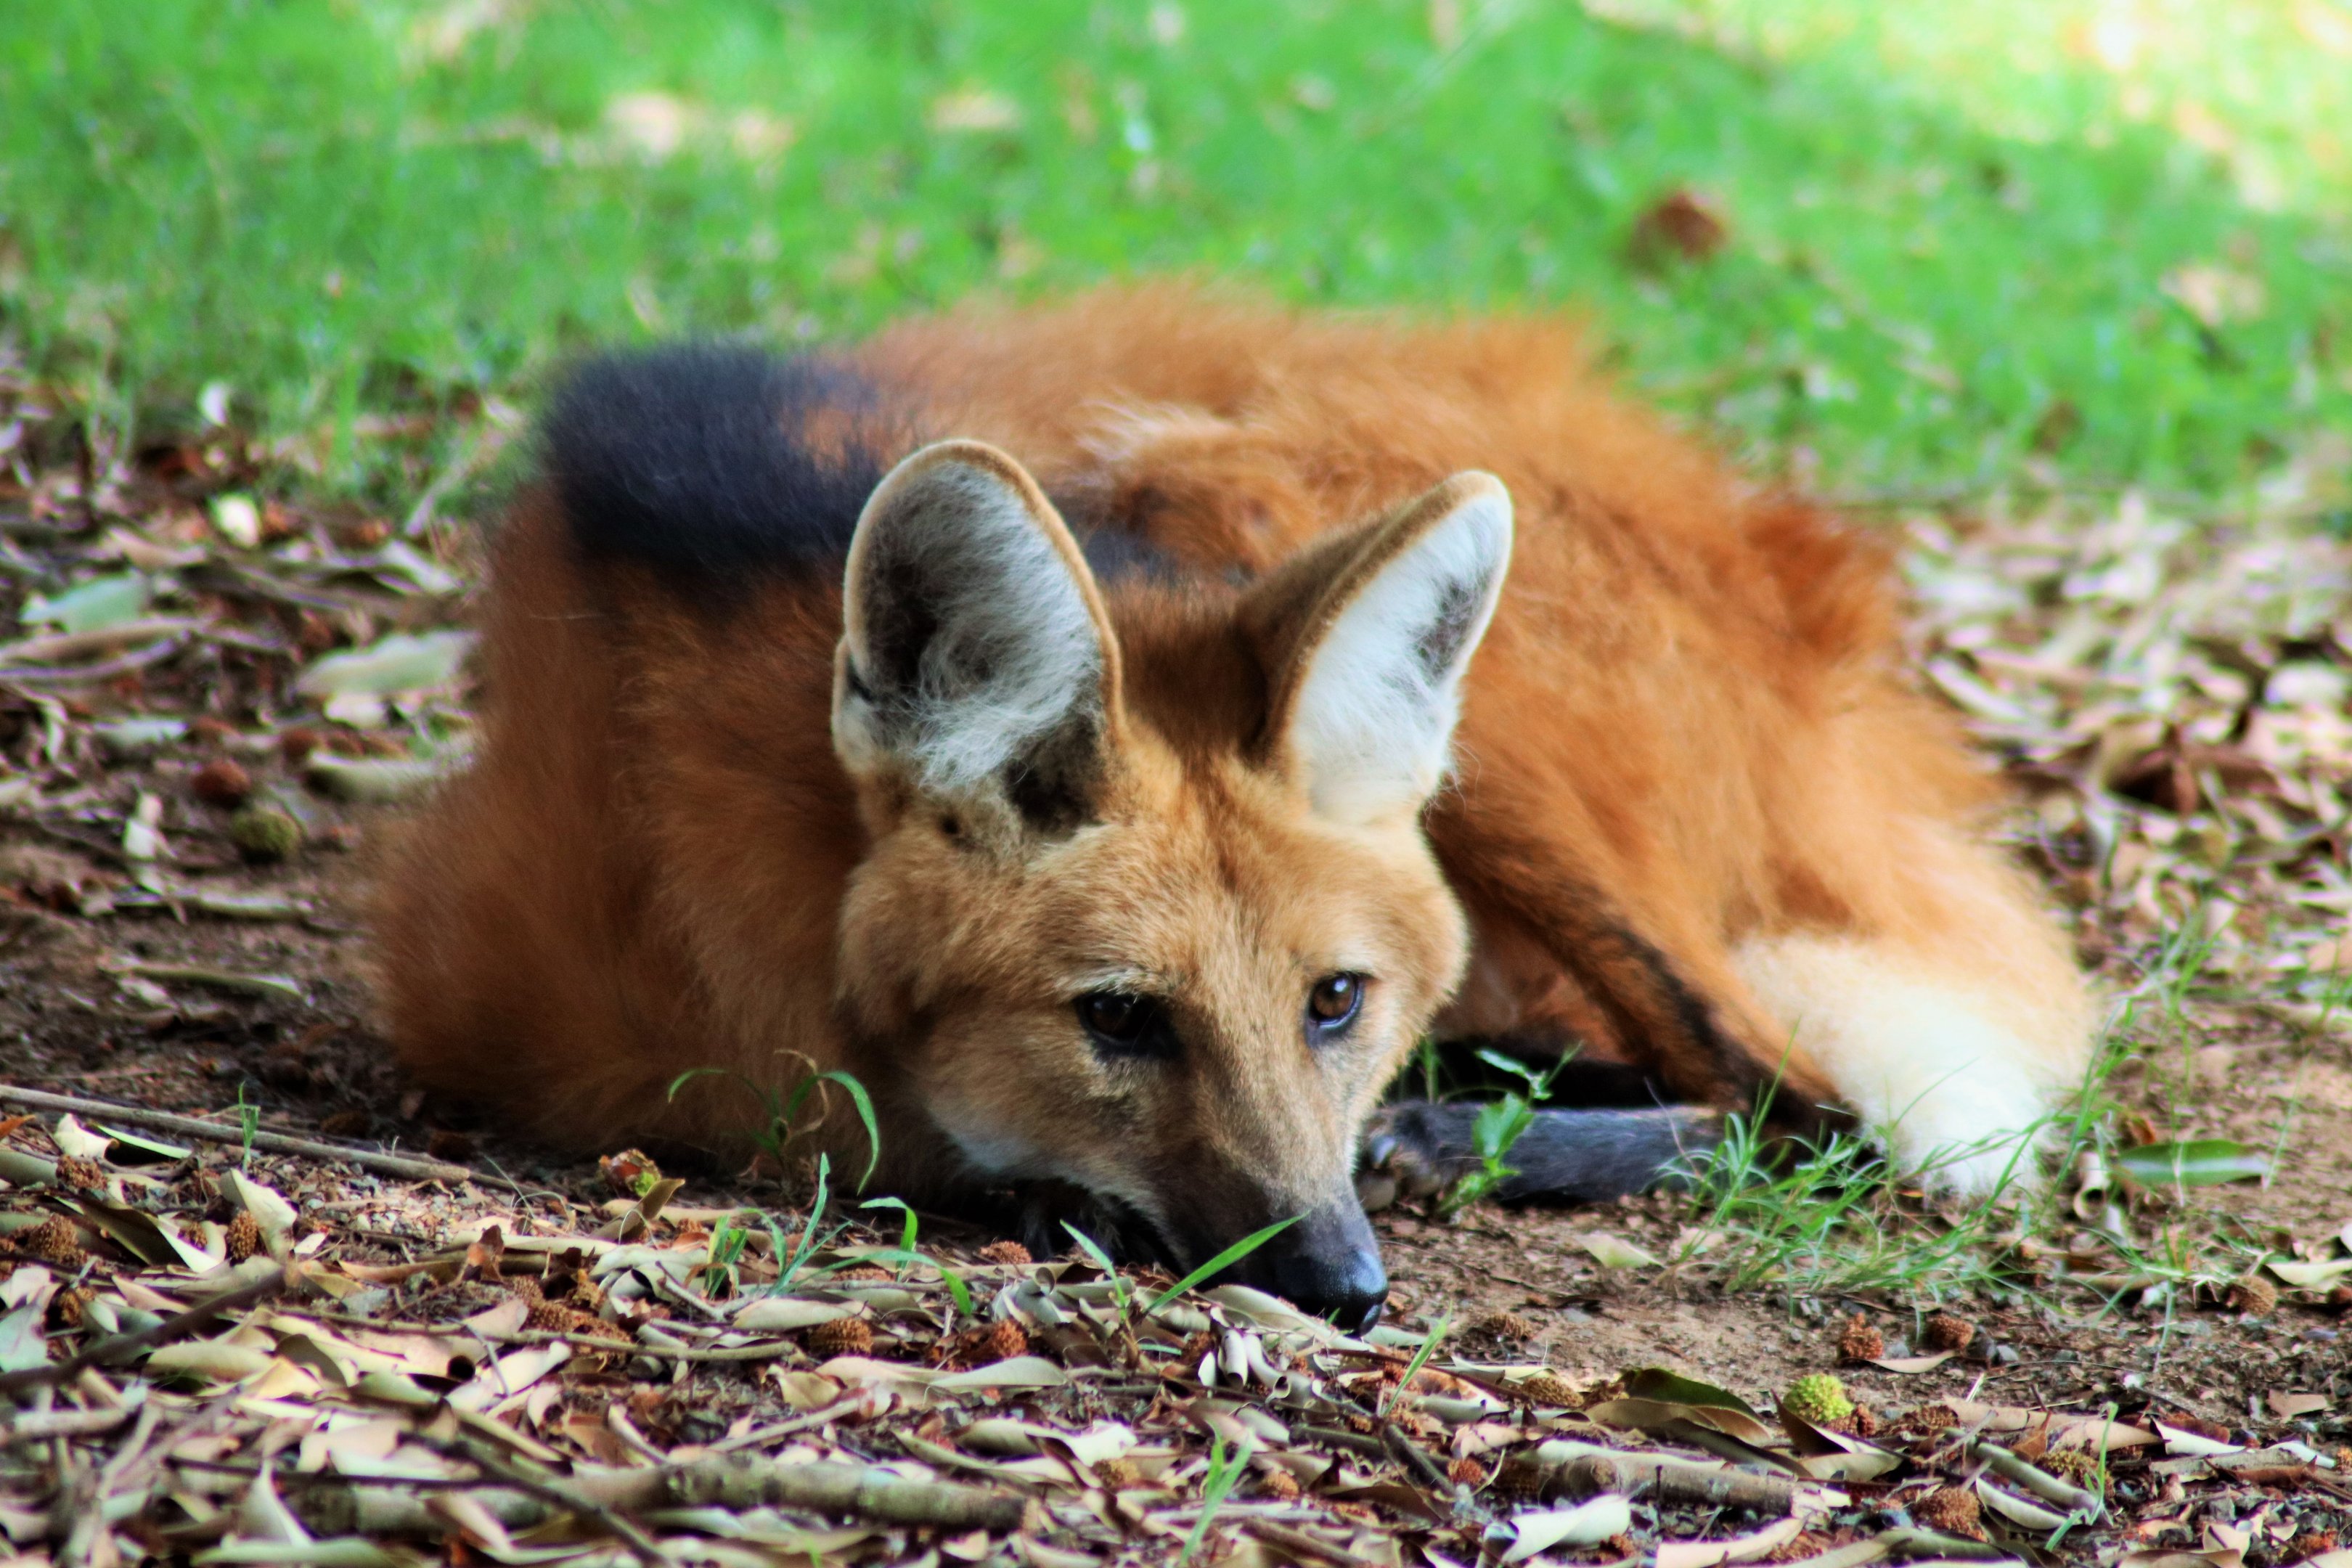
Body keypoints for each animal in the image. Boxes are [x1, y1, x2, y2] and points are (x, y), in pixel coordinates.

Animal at [377, 291, 2092, 1328]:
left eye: (1333, 1000)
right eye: (1122, 1020)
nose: (1343, 1283)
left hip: (1241, 488)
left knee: (1799, 1104)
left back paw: (1450, 1126)